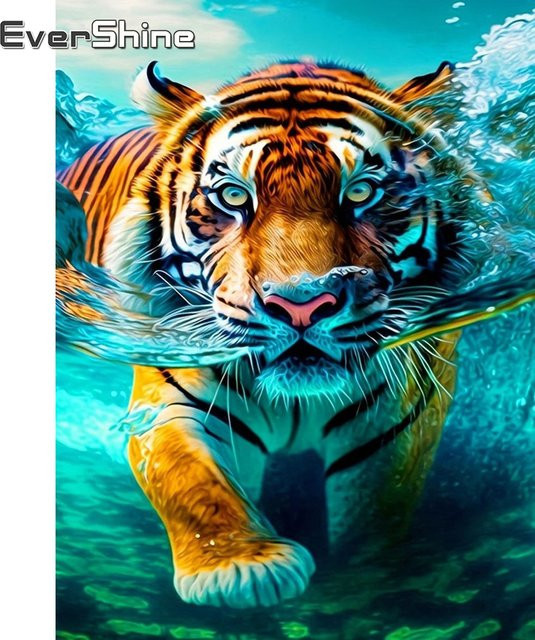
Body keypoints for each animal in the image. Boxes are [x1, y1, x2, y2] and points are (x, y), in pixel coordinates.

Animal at [58, 59, 483, 608]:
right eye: (234, 196)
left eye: (361, 192)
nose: (301, 303)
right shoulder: (172, 396)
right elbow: (191, 480)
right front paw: (239, 566)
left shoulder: (400, 425)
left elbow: (377, 515)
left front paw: (367, 577)